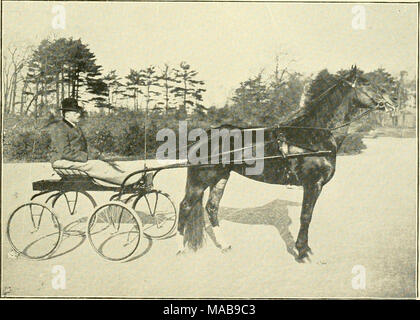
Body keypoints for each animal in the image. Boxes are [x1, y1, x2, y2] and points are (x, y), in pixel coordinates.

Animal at [176, 65, 396, 262]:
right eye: (367, 83)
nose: (392, 101)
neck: (313, 134)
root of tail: (203, 136)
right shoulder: (312, 184)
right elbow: (306, 216)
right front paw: (302, 251)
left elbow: (307, 216)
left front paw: (304, 248)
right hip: (201, 179)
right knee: (185, 206)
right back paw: (180, 248)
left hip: (220, 177)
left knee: (212, 208)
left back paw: (224, 245)